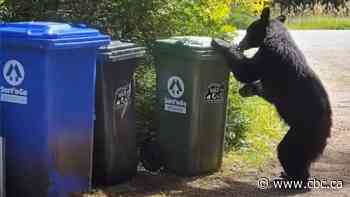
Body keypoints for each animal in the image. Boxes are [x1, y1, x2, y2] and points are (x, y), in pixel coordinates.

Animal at [212, 8, 332, 183]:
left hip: (304, 132)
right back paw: (289, 175)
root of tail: (328, 129)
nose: (241, 44)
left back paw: (292, 177)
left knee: (288, 151)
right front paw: (246, 89)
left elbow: (247, 71)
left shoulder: (270, 57)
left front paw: (221, 43)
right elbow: (263, 88)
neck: (273, 37)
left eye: (248, 30)